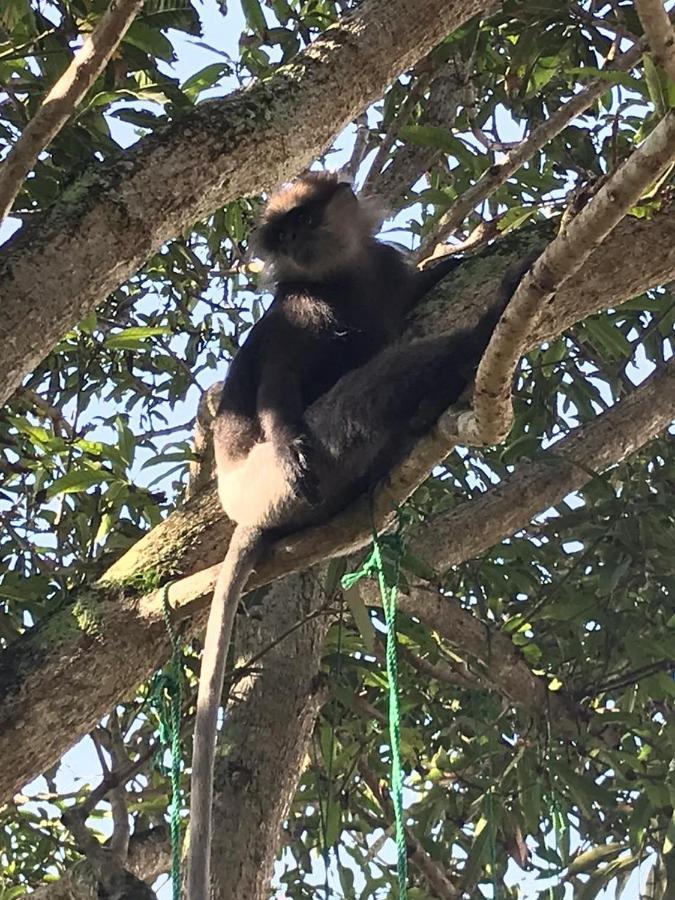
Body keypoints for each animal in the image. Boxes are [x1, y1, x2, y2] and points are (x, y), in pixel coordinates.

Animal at [187, 171, 494, 900]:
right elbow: (277, 385)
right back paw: (481, 333)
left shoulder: (383, 265)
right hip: (272, 481)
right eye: (282, 234)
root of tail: (242, 509)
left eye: (304, 220)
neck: (342, 277)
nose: (295, 241)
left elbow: (414, 283)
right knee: (357, 393)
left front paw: (459, 257)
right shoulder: (298, 307)